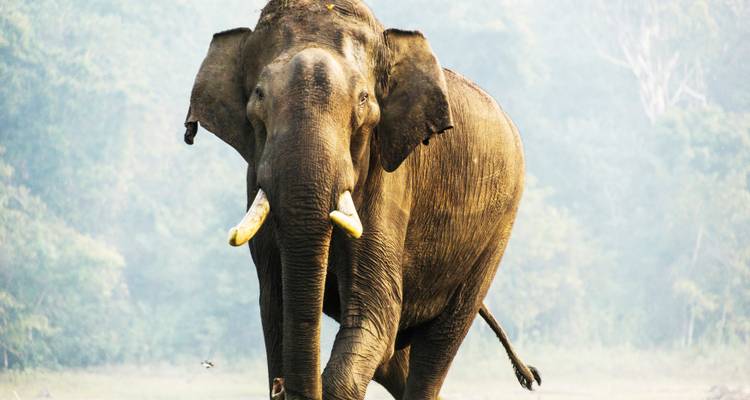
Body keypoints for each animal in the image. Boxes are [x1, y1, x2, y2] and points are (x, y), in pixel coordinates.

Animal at [183, 1, 539, 399]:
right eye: (258, 96)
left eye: (364, 99)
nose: (283, 387)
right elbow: (276, 309)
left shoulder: (388, 181)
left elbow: (374, 311)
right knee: (393, 359)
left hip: (497, 232)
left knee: (438, 344)